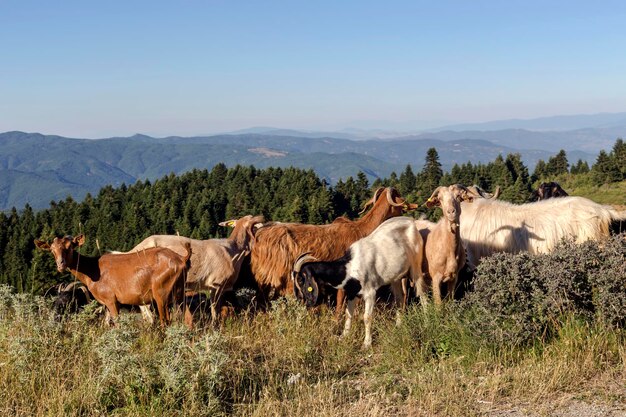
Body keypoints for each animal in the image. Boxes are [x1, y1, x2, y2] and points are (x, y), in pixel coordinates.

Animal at [33, 234, 189, 324]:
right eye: (52, 249)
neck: (93, 269)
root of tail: (181, 259)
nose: (61, 264)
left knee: (165, 321)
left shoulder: (111, 300)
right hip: (180, 294)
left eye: (70, 246)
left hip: (161, 294)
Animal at [290, 214, 422, 348]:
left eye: (300, 280)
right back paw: (398, 325)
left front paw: (366, 344)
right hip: (396, 278)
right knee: (400, 299)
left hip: (416, 266)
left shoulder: (370, 293)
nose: (300, 299)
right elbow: (348, 315)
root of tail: (411, 220)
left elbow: (367, 317)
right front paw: (343, 336)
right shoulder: (352, 293)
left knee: (422, 294)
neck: (349, 267)